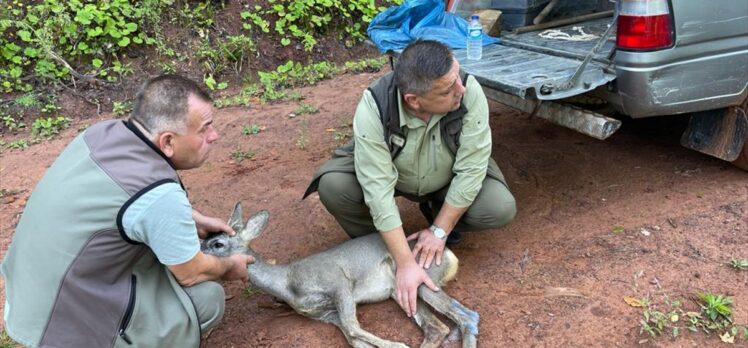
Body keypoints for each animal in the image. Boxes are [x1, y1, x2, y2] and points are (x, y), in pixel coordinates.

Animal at [200, 203, 480, 346]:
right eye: (206, 238)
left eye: (217, 244)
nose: (196, 252)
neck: (287, 283)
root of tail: (449, 255)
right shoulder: (325, 314)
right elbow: (354, 338)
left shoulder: (337, 282)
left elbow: (353, 327)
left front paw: (398, 345)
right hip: (401, 291)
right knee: (438, 328)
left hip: (421, 279)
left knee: (466, 316)